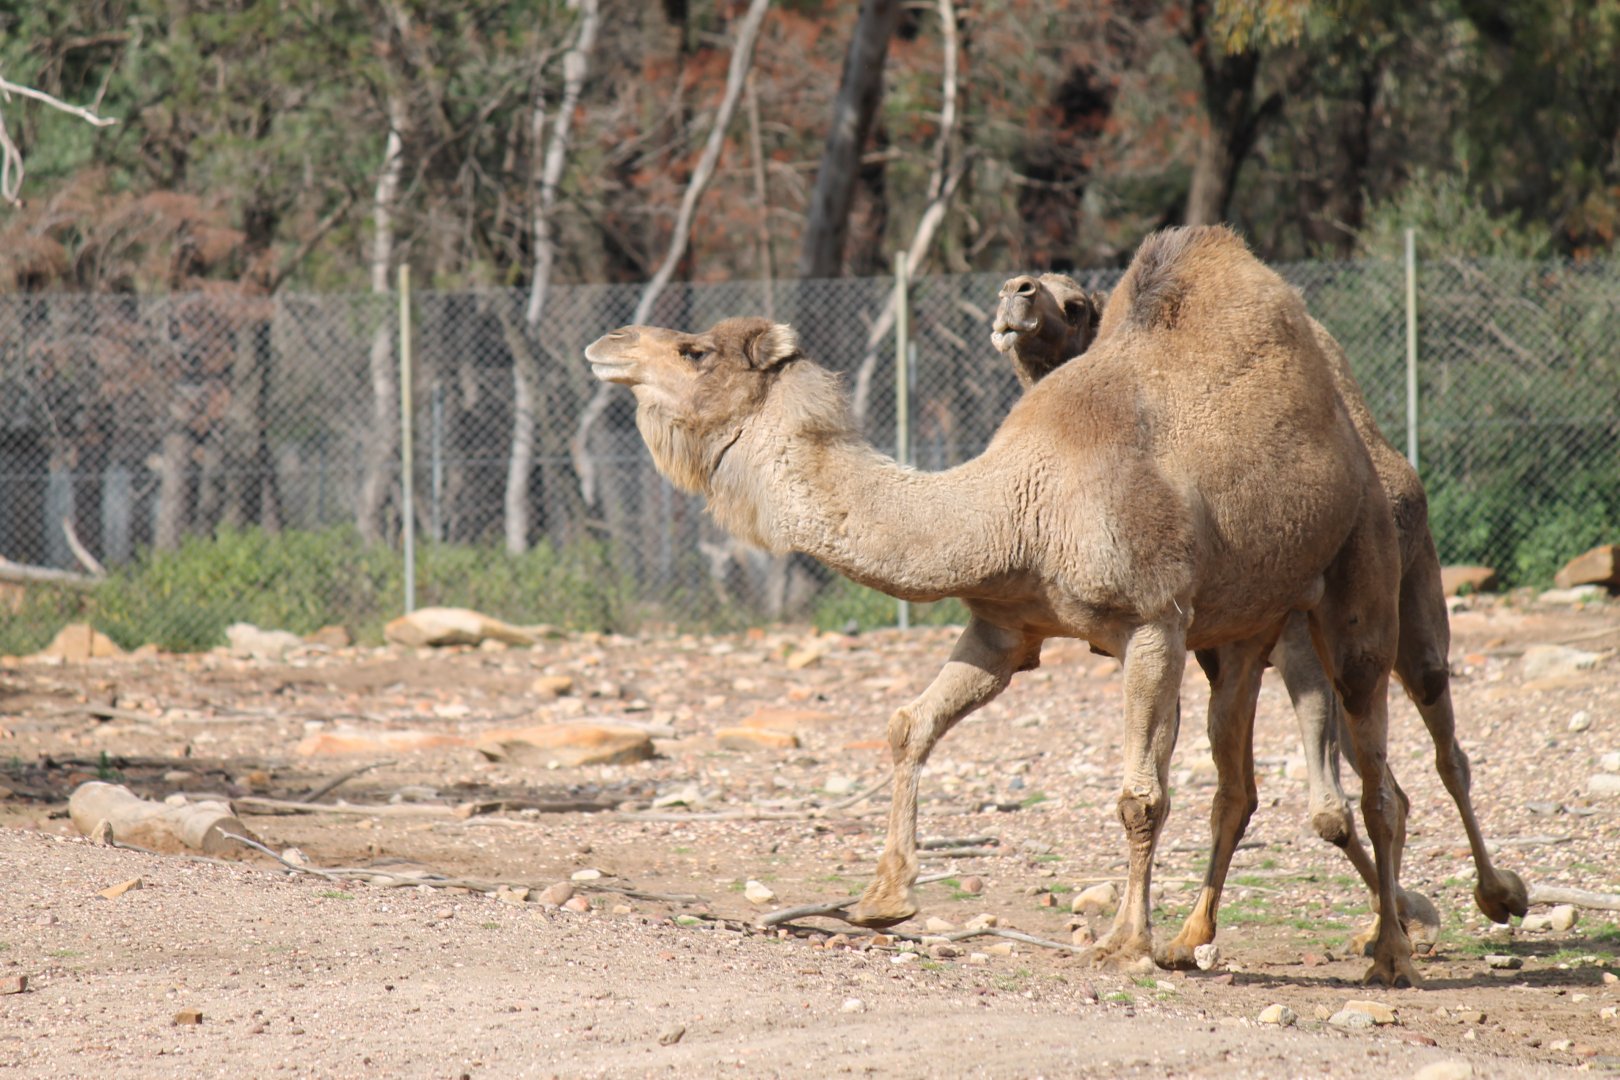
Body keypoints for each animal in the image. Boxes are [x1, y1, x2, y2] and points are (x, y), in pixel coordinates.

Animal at [587, 225, 1417, 985]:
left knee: (1379, 772)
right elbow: (909, 725)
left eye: (695, 351)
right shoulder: (1002, 627)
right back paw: (1194, 942)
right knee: (1236, 781)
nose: (608, 344)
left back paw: (1392, 953)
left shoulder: (1153, 621)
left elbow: (1140, 796)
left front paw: (1123, 944)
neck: (1018, 507)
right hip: (1242, 630)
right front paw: (883, 898)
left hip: (1361, 572)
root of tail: (1356, 440)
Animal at [990, 272, 1530, 964]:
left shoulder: (1288, 636)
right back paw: (1384, 922)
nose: (1019, 294)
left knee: (1445, 743)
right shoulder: (1194, 642)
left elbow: (1327, 810)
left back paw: (1497, 894)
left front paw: (1415, 915)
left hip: (1408, 601)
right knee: (1390, 777)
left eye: (1077, 305)